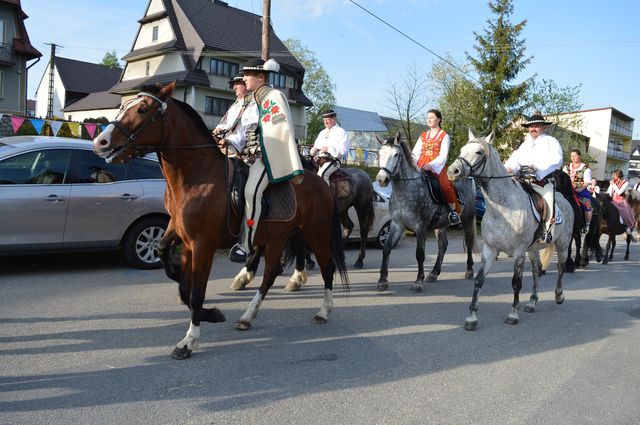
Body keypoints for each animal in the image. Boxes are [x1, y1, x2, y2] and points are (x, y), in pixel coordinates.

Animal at [92, 82, 348, 358]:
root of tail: (320, 182)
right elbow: (175, 271)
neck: (196, 177)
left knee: (326, 267)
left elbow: (196, 293)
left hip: (316, 232)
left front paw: (189, 340)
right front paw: (209, 313)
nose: (100, 142)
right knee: (271, 273)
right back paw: (247, 316)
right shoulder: (181, 234)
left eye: (142, 109)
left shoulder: (203, 244)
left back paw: (323, 310)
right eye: (124, 106)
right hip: (278, 237)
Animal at [376, 132, 476, 292]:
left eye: (396, 154)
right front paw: (382, 280)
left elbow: (420, 254)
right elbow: (386, 249)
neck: (405, 190)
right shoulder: (397, 224)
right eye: (379, 154)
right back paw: (434, 273)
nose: (382, 179)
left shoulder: (420, 226)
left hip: (467, 219)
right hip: (441, 225)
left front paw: (418, 281)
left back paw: (469, 270)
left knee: (468, 241)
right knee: (443, 245)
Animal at [444, 131, 576, 330]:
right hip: (533, 249)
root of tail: (565, 201)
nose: (452, 171)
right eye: (461, 150)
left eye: (478, 152)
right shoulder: (490, 250)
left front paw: (513, 314)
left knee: (560, 266)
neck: (503, 207)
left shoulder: (519, 252)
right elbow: (479, 280)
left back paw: (559, 295)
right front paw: (472, 317)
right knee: (537, 271)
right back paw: (532, 302)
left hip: (562, 245)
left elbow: (516, 283)